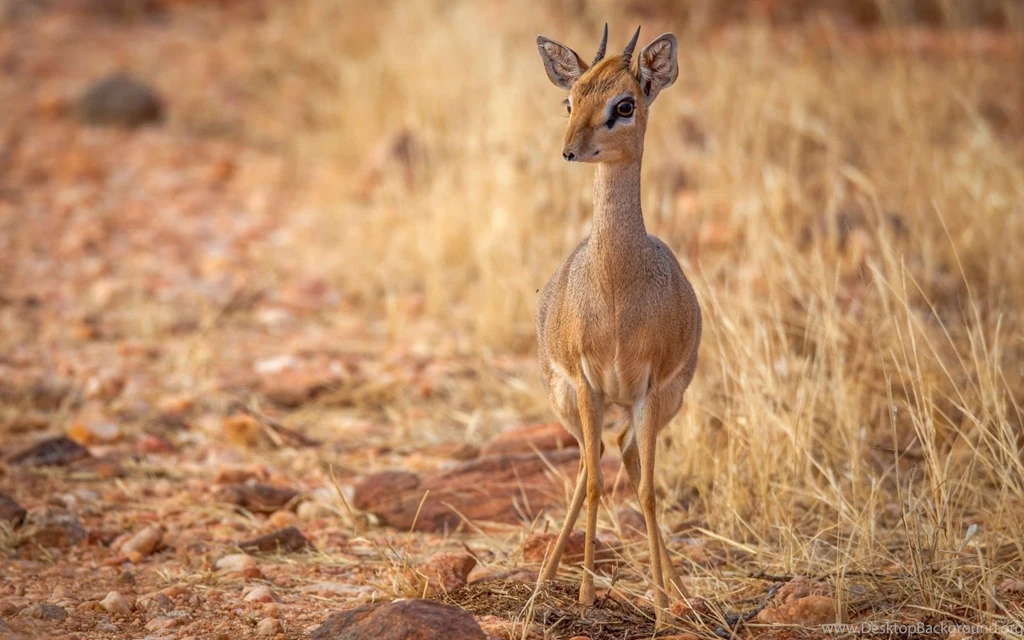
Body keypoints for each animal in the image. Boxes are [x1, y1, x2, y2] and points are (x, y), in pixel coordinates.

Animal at [534, 24, 702, 624]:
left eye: (624, 104)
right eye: (570, 98)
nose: (568, 150)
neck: (615, 292)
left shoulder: (649, 387)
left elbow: (649, 490)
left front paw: (660, 606)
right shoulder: (587, 382)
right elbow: (594, 485)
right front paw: (585, 596)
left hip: (653, 404)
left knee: (624, 458)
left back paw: (675, 589)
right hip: (573, 399)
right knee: (592, 465)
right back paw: (547, 578)